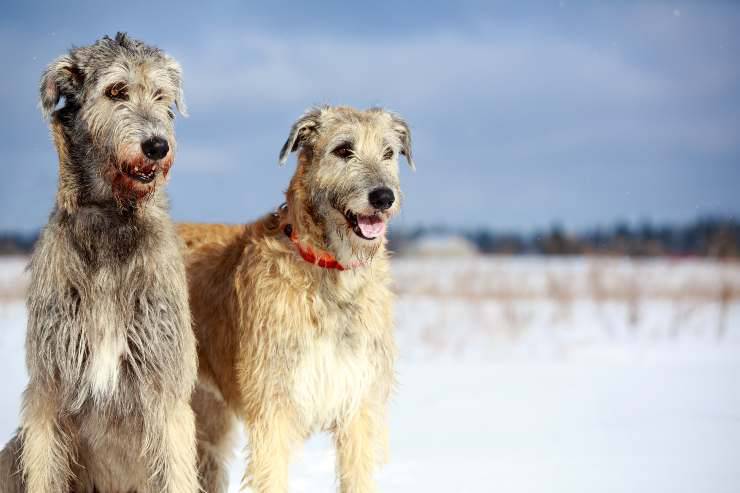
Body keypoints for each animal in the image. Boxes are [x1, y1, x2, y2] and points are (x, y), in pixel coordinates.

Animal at [0, 32, 199, 490]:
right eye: (116, 91)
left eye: (161, 94)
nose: (157, 146)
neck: (111, 219)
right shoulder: (48, 389)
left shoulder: (165, 385)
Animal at [177, 105, 414, 490]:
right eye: (343, 149)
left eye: (388, 152)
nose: (383, 197)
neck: (330, 273)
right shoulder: (273, 407)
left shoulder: (358, 404)